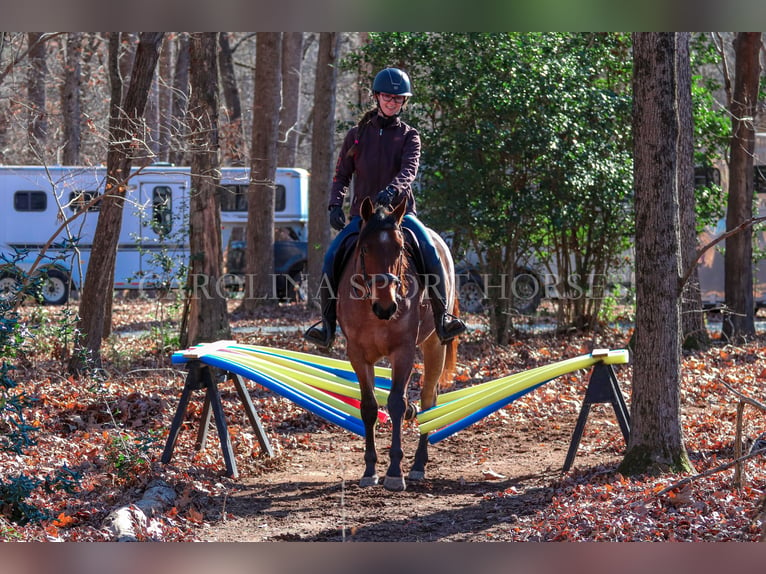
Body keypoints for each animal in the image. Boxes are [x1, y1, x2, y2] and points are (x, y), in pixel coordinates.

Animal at [340, 196, 460, 492]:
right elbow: (369, 407)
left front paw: (395, 472)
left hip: (434, 344)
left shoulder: (403, 352)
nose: (386, 307)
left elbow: (396, 403)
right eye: (365, 248)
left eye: (400, 248)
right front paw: (370, 470)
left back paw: (418, 464)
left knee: (429, 400)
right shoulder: (357, 355)